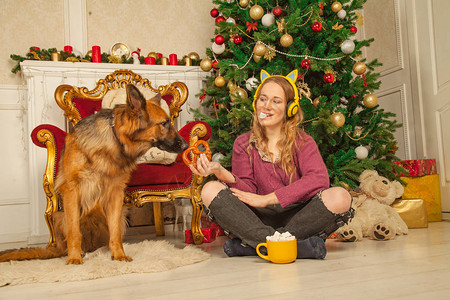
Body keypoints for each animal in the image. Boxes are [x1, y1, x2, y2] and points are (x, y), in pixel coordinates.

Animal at [0, 83, 188, 264]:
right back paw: (76, 253)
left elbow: (115, 233)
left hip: (120, 216)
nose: (186, 145)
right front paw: (74, 258)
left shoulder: (115, 195)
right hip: (59, 215)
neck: (115, 139)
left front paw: (119, 255)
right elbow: (74, 232)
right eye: (164, 123)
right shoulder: (72, 190)